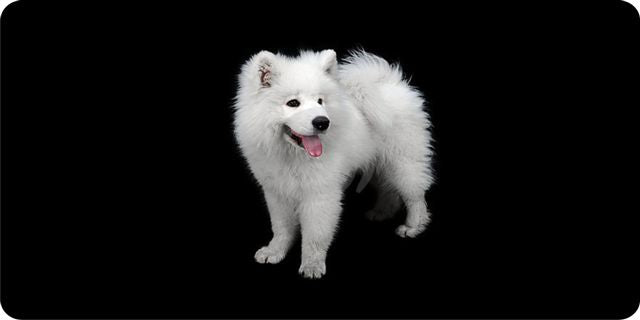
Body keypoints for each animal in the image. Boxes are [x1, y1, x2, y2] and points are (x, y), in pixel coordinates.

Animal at [232, 49, 432, 278]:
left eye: (320, 101)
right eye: (293, 103)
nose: (322, 122)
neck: (292, 154)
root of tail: (392, 83)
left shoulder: (320, 194)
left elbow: (315, 235)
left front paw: (312, 265)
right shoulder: (277, 192)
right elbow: (281, 227)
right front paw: (275, 251)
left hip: (403, 161)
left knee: (415, 196)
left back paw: (413, 226)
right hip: (379, 164)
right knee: (388, 189)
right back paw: (382, 212)